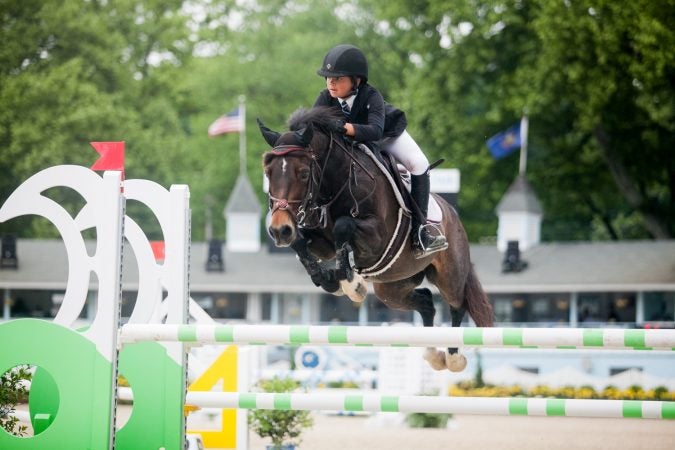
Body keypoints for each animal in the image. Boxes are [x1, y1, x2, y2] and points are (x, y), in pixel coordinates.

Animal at [256, 107, 494, 370]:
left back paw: (453, 358)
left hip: (449, 274)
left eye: (304, 173)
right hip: (391, 287)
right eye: (268, 173)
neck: (335, 183)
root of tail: (453, 215)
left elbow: (344, 226)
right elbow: (302, 242)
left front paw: (351, 283)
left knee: (457, 304)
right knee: (425, 302)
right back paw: (432, 353)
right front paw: (328, 280)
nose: (280, 230)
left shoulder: (377, 238)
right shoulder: (321, 242)